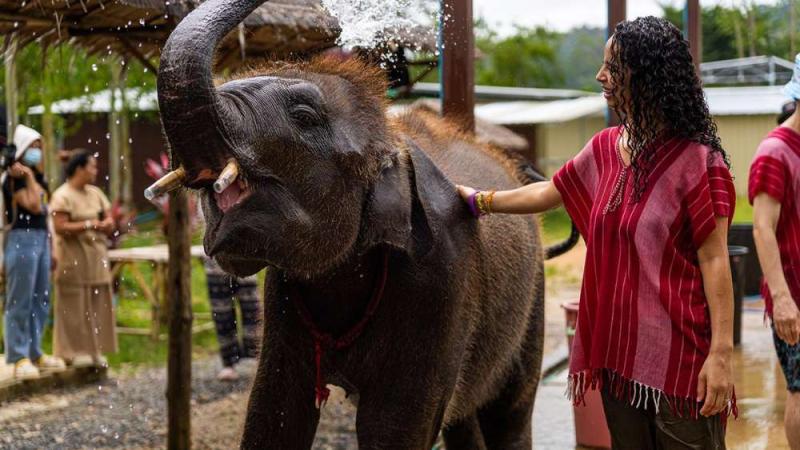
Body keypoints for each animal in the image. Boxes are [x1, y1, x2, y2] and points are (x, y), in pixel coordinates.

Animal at [156, 1, 577, 448]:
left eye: (304, 115)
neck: (388, 135)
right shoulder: (283, 301)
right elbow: (273, 412)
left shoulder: (443, 279)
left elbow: (393, 423)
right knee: (464, 416)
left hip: (533, 297)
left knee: (510, 410)